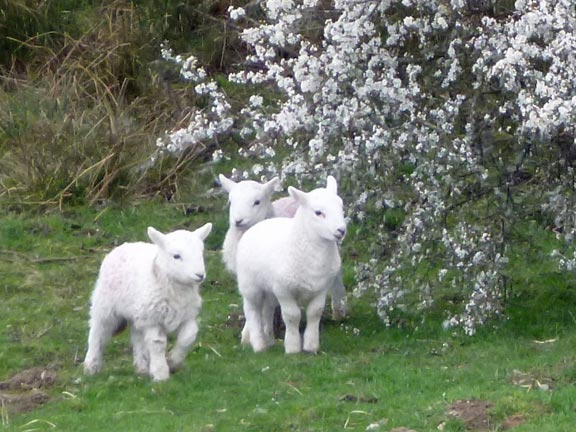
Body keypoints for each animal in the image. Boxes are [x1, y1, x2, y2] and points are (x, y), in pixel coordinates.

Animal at [83, 223, 212, 382]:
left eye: (201, 253)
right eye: (176, 256)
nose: (200, 275)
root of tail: (126, 245)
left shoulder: (187, 316)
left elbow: (188, 337)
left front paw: (173, 362)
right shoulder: (152, 319)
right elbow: (158, 343)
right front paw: (161, 373)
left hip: (137, 313)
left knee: (137, 336)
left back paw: (142, 367)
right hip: (106, 305)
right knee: (98, 332)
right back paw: (91, 366)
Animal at [235, 176, 344, 354]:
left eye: (341, 208)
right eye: (318, 212)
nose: (341, 230)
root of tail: (260, 224)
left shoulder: (321, 288)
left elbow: (315, 313)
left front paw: (311, 346)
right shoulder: (283, 290)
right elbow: (292, 316)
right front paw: (292, 347)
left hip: (269, 289)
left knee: (267, 309)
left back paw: (269, 339)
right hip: (250, 285)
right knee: (252, 311)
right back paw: (259, 344)